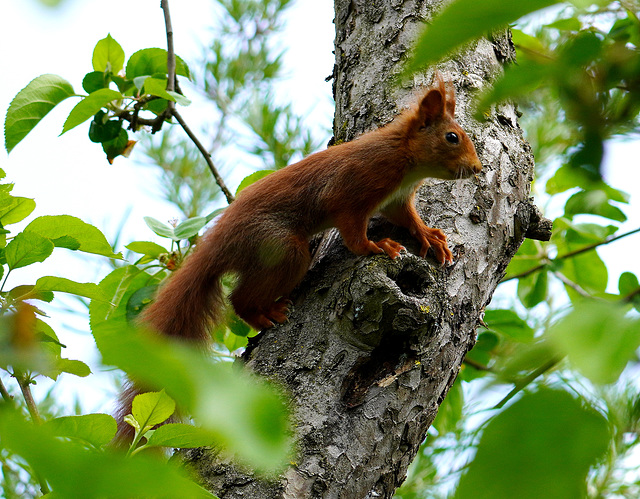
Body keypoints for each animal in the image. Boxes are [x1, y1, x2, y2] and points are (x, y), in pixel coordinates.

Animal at [115, 76, 480, 440]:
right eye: (452, 137)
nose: (477, 169)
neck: (403, 155)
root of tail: (218, 244)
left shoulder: (397, 199)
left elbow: (406, 218)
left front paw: (429, 236)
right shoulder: (352, 190)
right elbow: (353, 233)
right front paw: (377, 248)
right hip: (282, 249)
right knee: (239, 297)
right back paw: (266, 315)